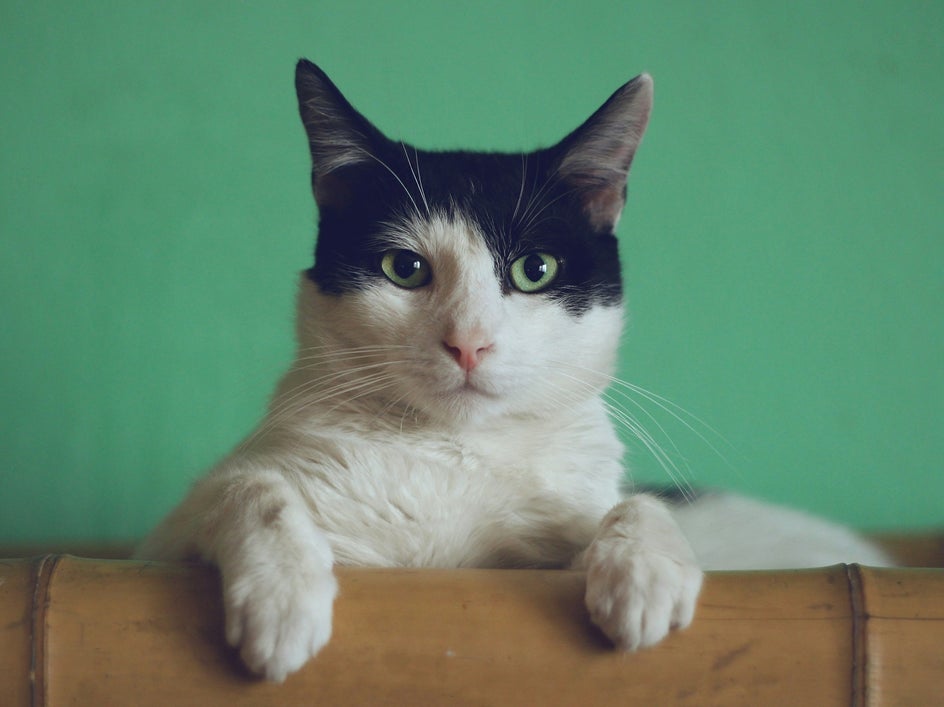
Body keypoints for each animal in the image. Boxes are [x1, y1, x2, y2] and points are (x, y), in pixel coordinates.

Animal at [135, 62, 892, 684]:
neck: (452, 456)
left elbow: (631, 504)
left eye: (536, 270)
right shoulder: (163, 541)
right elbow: (250, 487)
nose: (468, 343)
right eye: (403, 268)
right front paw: (284, 599)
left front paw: (643, 571)